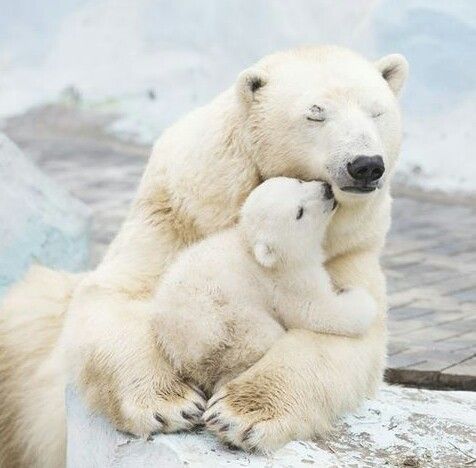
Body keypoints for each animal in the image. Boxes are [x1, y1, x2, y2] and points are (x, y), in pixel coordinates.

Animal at [0, 45, 410, 466]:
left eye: (377, 112)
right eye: (315, 113)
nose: (365, 165)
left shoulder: (348, 248)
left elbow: (341, 334)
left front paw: (240, 414)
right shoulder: (177, 213)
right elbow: (124, 294)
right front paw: (170, 403)